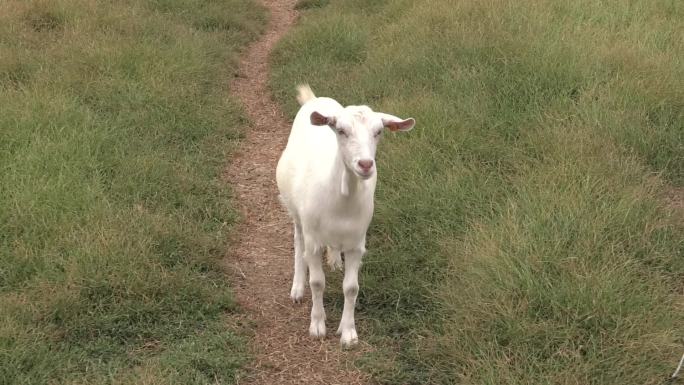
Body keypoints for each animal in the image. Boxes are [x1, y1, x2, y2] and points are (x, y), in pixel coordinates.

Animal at [276, 85, 414, 344]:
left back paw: (334, 260)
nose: (365, 164)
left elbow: (351, 288)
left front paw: (348, 332)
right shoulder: (314, 240)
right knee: (298, 242)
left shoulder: (357, 243)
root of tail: (315, 99)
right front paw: (317, 325)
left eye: (378, 131)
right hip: (297, 214)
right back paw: (297, 288)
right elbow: (317, 282)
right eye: (340, 130)